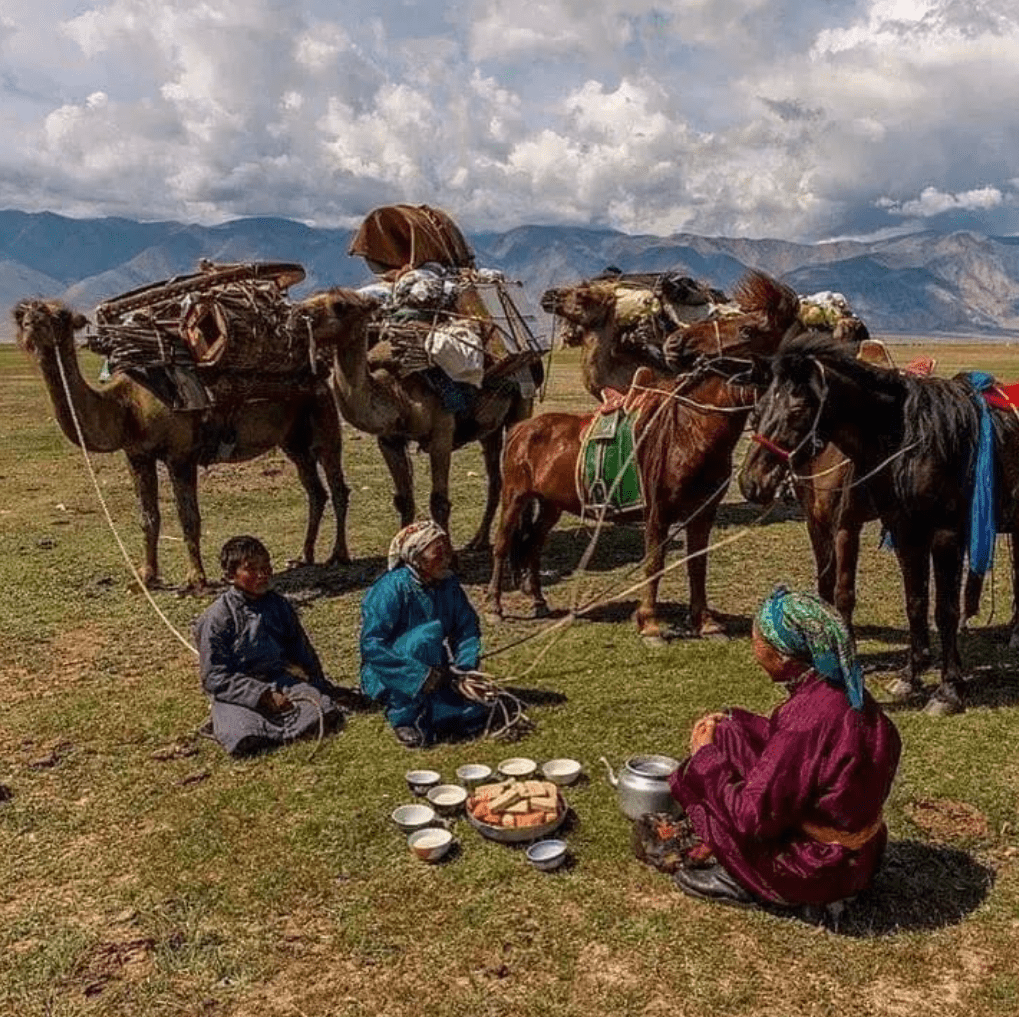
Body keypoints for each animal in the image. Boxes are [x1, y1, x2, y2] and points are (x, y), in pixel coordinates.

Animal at [14, 297, 350, 595]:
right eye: (22, 314)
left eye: (60, 315)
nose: (31, 325)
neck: (128, 406)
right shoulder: (137, 455)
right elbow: (148, 517)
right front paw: (146, 578)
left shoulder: (180, 454)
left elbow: (188, 518)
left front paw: (196, 580)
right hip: (293, 439)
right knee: (314, 490)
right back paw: (304, 556)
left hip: (323, 413)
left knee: (336, 484)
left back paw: (339, 555)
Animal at [297, 289, 538, 550]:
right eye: (312, 296)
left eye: (341, 305)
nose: (298, 314)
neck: (396, 393)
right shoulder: (389, 440)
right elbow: (404, 500)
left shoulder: (442, 433)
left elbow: (439, 502)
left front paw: (447, 555)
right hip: (489, 429)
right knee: (495, 478)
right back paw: (479, 539)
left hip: (521, 405)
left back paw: (521, 535)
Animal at [741, 334, 1019, 717]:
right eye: (758, 409)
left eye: (796, 409)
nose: (751, 482)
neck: (911, 441)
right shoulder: (902, 531)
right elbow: (914, 601)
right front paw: (910, 675)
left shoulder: (941, 534)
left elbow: (943, 609)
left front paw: (948, 690)